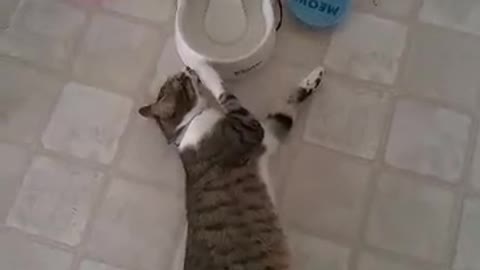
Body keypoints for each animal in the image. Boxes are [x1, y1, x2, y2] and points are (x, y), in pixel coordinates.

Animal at [139, 63, 326, 270]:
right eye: (180, 79)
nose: (186, 68)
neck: (189, 125)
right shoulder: (250, 129)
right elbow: (225, 94)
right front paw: (202, 65)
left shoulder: (268, 133)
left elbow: (287, 105)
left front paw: (314, 78)